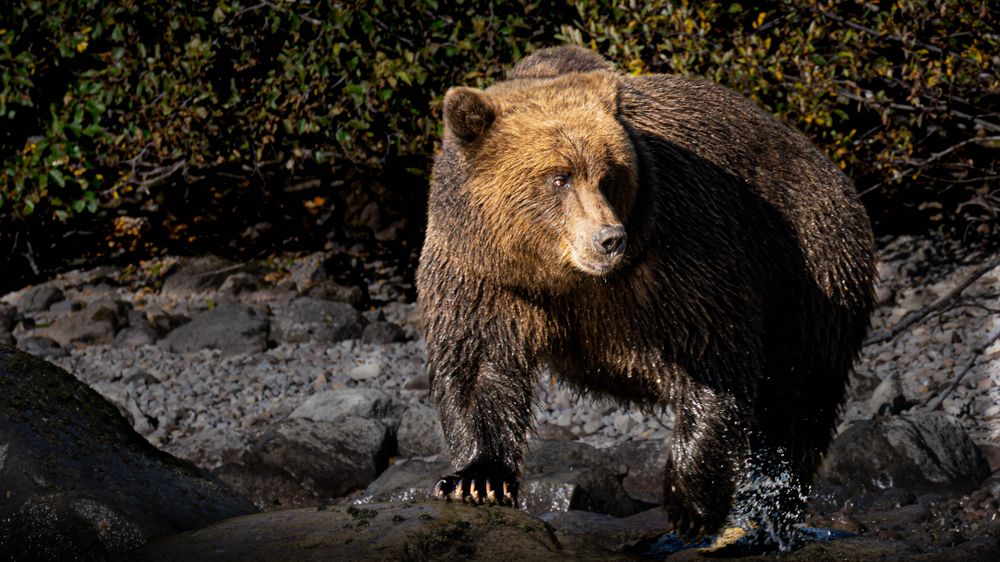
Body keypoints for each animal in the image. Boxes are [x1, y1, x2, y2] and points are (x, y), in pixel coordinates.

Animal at [417, 46, 876, 549]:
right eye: (559, 177)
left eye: (608, 175)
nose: (608, 239)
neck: (561, 277)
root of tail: (827, 165)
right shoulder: (481, 275)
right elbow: (478, 362)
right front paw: (476, 478)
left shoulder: (676, 252)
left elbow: (715, 355)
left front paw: (688, 505)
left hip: (810, 262)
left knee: (797, 394)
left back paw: (766, 511)